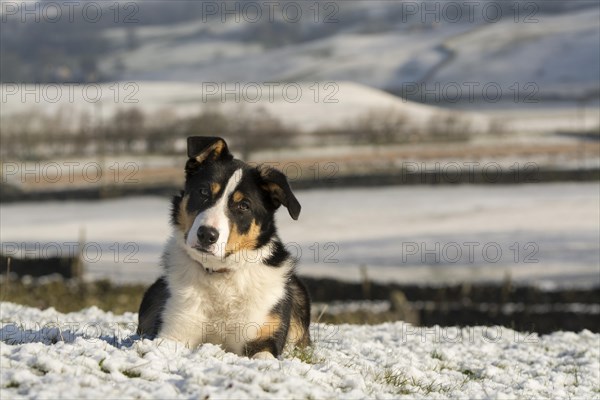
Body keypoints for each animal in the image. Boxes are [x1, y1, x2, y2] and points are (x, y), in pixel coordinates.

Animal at [139, 136, 312, 358]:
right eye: (203, 191)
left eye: (244, 206)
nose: (207, 235)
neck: (220, 275)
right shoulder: (173, 332)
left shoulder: (263, 338)